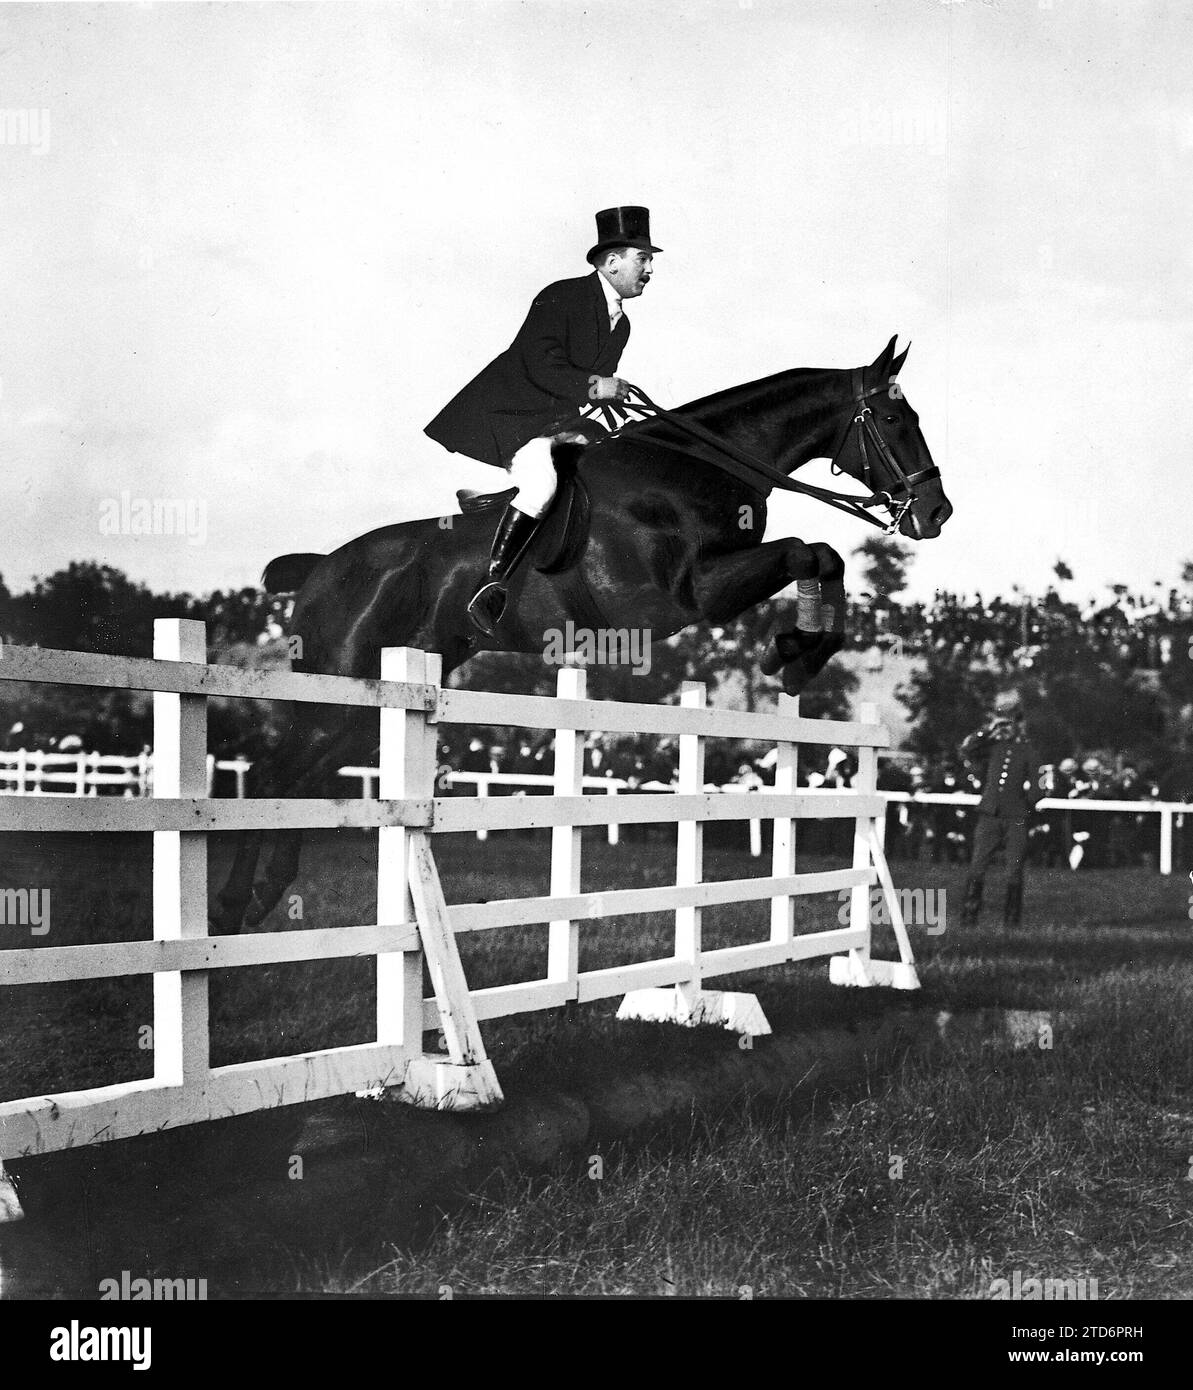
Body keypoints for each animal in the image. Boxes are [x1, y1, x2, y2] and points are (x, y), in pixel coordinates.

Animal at [211, 330, 951, 928]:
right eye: (894, 417)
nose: (935, 511)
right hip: (335, 683)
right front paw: (794, 652)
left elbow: (822, 556)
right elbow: (805, 550)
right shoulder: (692, 595)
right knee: (277, 771)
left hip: (370, 702)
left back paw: (265, 894)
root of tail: (319, 568)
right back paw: (231, 902)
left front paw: (799, 652)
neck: (695, 465)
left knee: (302, 779)